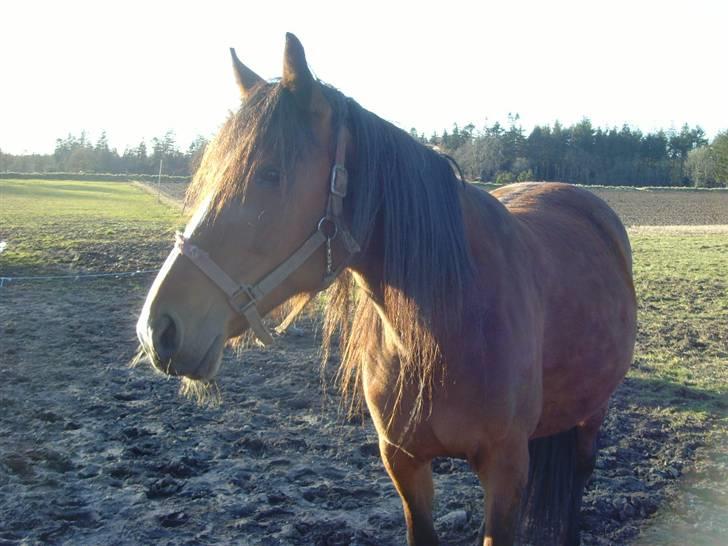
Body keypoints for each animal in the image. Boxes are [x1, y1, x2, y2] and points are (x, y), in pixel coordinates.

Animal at [136, 34, 636, 544]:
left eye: (270, 174)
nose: (158, 328)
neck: (451, 322)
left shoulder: (506, 468)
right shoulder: (403, 461)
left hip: (592, 414)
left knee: (577, 477)